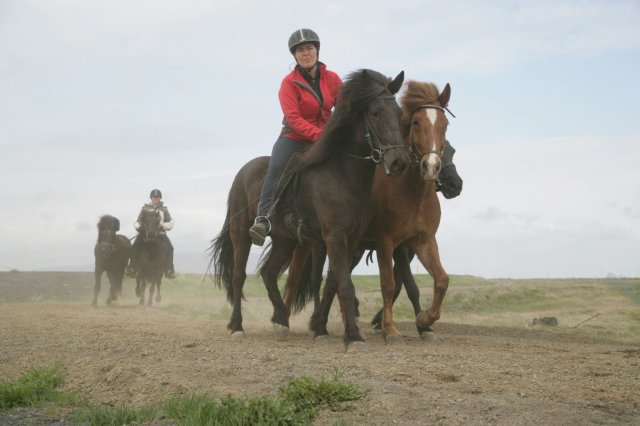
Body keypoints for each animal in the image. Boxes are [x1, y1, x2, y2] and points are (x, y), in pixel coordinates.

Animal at [210, 69, 410, 350]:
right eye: (374, 112)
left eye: (399, 113)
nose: (399, 162)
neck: (341, 174)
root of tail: (243, 171)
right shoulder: (334, 236)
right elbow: (345, 285)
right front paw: (353, 336)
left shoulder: (349, 240)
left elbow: (333, 283)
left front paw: (321, 328)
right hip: (241, 234)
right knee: (239, 276)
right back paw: (237, 326)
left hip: (285, 240)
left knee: (269, 273)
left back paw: (281, 321)